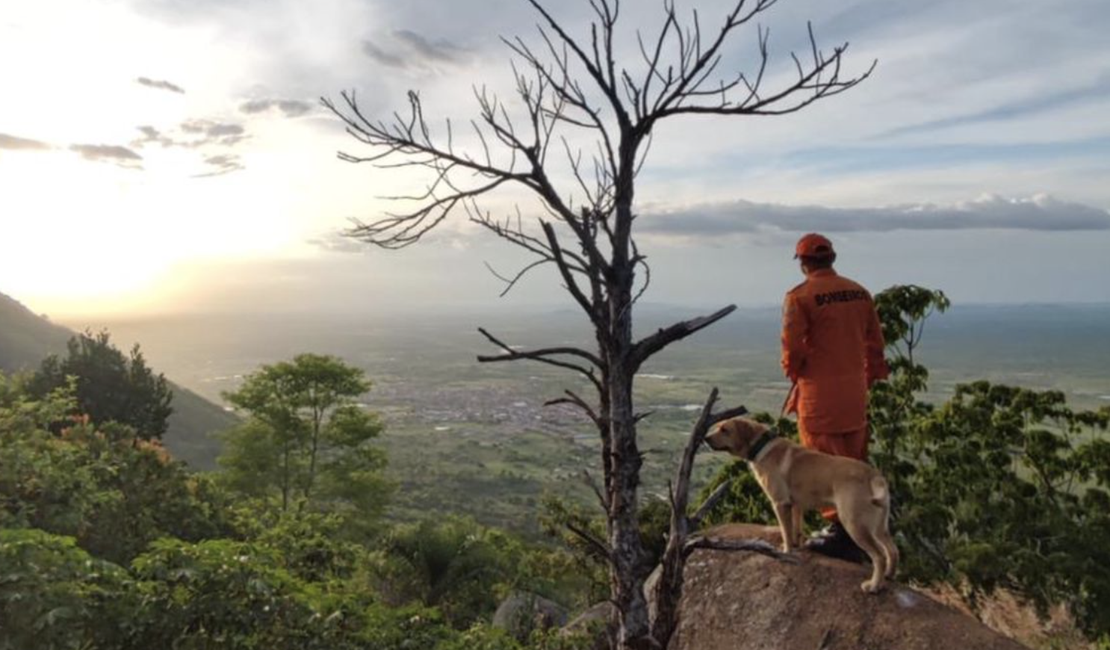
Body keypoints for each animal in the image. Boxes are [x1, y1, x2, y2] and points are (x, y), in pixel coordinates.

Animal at [705, 414, 896, 590]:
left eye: (725, 430)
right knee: (892, 549)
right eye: (718, 427)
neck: (761, 445)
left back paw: (873, 586)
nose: (706, 438)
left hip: (854, 522)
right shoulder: (796, 505)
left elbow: (786, 531)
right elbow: (796, 530)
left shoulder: (780, 503)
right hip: (879, 526)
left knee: (879, 556)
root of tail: (874, 476)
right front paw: (797, 546)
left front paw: (786, 552)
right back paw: (888, 574)